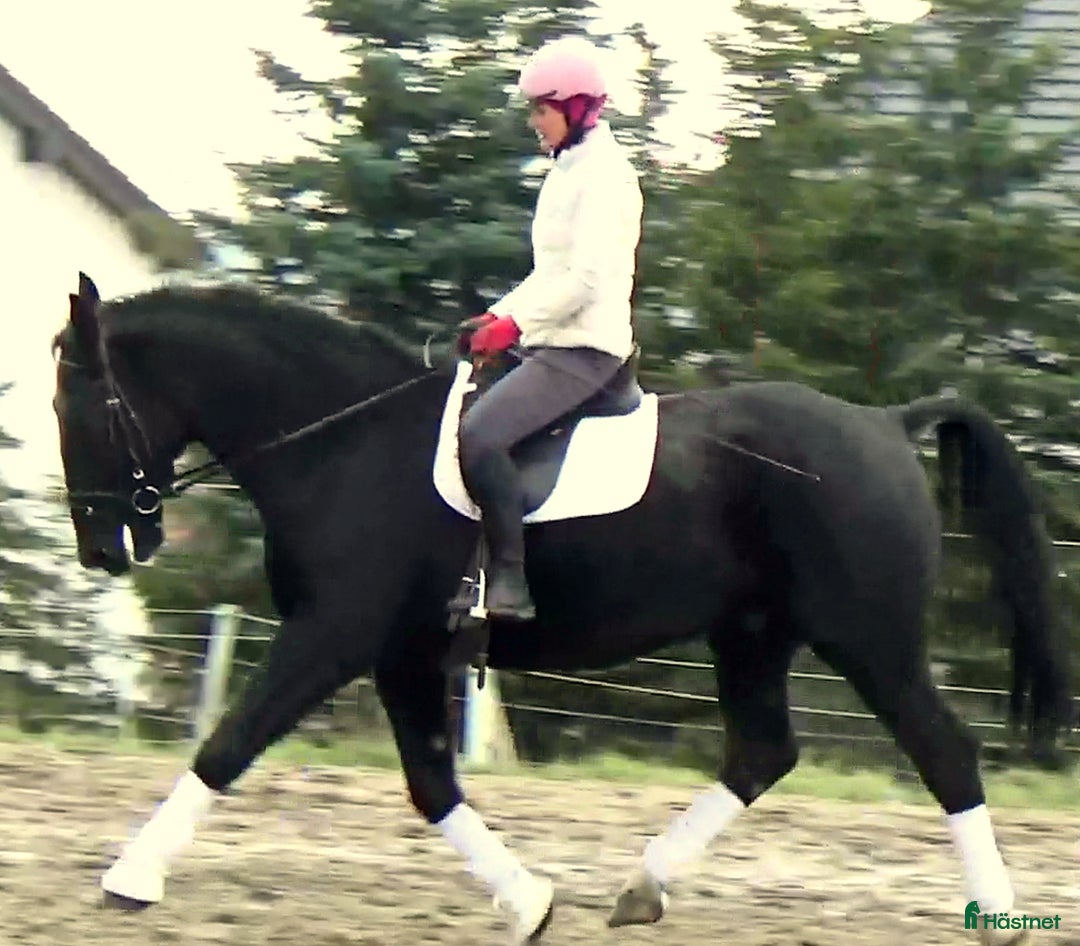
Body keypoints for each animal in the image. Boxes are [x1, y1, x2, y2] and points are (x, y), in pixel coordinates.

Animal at [50, 272, 1072, 946]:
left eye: (82, 410)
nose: (103, 551)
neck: (344, 445)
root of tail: (885, 423)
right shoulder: (401, 651)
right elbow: (432, 785)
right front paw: (530, 903)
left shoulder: (334, 636)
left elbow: (229, 745)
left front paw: (129, 879)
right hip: (752, 634)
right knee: (764, 752)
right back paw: (642, 888)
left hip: (868, 637)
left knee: (945, 754)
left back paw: (996, 917)